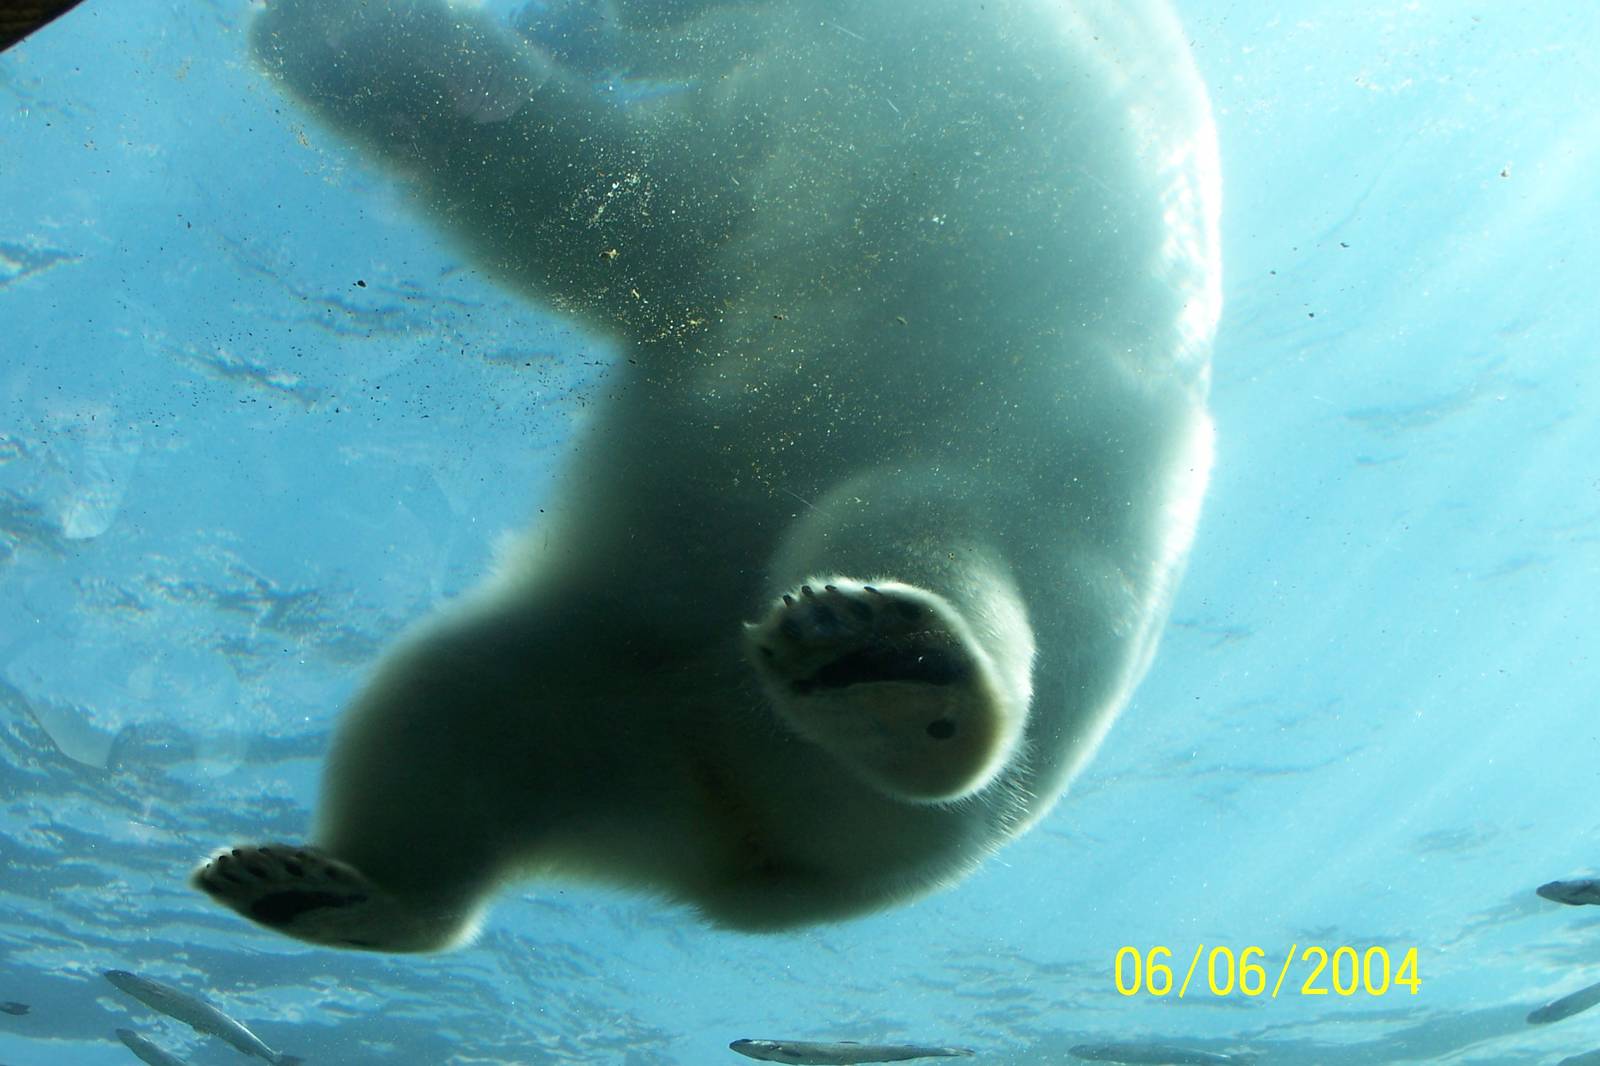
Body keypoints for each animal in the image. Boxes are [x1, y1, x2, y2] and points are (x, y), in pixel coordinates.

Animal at [192, 0, 1221, 953]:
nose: (593, 21)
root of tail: (754, 862)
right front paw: (329, 40)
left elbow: (641, 197)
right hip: (600, 677)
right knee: (450, 705)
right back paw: (322, 889)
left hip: (1035, 499)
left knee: (910, 526)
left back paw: (888, 670)